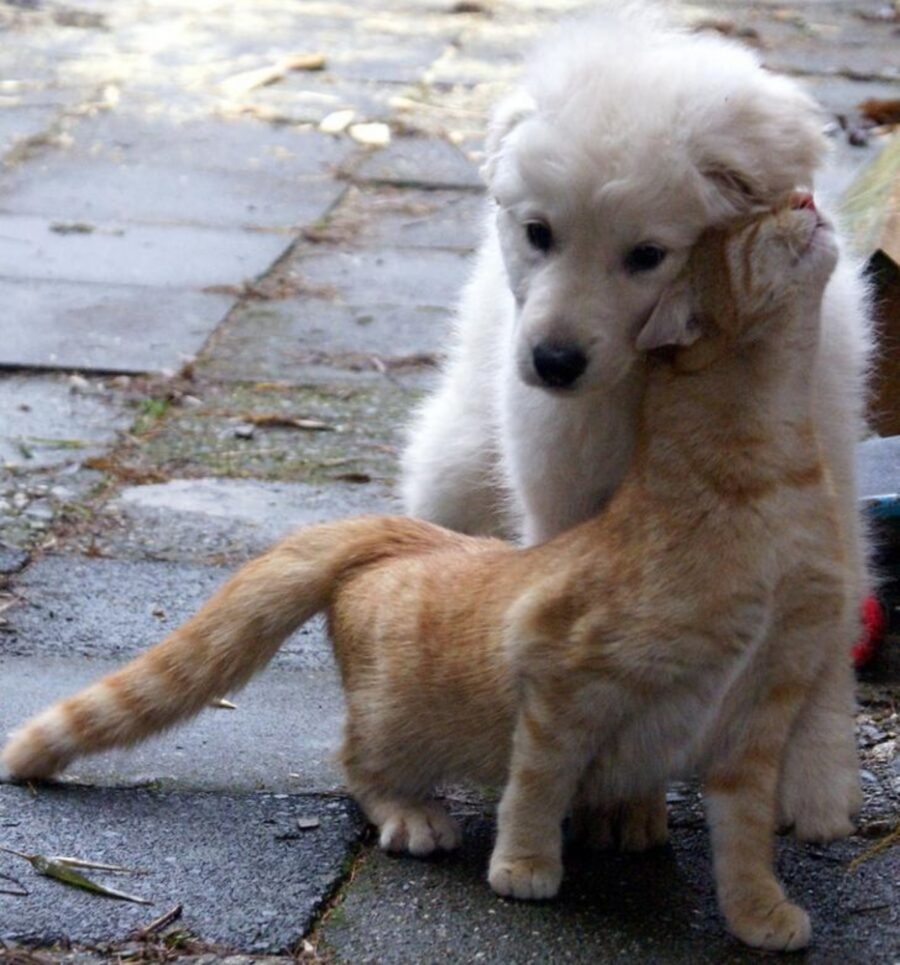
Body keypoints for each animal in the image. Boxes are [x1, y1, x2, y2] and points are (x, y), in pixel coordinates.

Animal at [3, 196, 852, 948]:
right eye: (750, 228)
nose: (807, 199)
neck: (774, 485)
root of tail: (406, 537)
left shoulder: (761, 713)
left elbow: (745, 837)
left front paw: (757, 912)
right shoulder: (562, 674)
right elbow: (537, 779)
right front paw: (524, 863)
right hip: (398, 721)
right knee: (355, 762)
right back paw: (411, 812)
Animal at [404, 5, 868, 844]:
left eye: (647, 253)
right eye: (539, 233)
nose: (553, 362)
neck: (655, 378)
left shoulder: (824, 475)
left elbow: (826, 623)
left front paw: (818, 777)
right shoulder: (561, 491)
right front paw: (615, 802)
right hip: (454, 466)